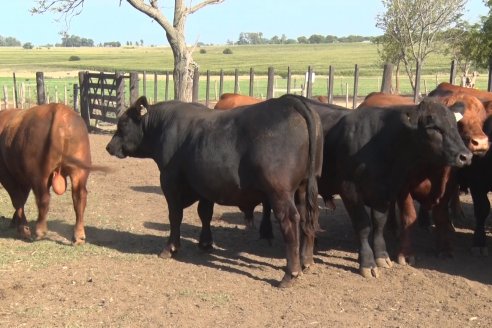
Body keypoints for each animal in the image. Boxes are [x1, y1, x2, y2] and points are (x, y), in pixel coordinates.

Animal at [105, 93, 324, 288]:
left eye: (122, 125)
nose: (108, 147)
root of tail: (290, 102)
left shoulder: (170, 182)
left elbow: (175, 215)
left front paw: (170, 248)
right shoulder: (205, 185)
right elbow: (205, 213)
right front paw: (205, 243)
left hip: (280, 192)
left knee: (290, 221)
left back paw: (290, 273)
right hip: (303, 187)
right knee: (307, 218)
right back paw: (306, 260)